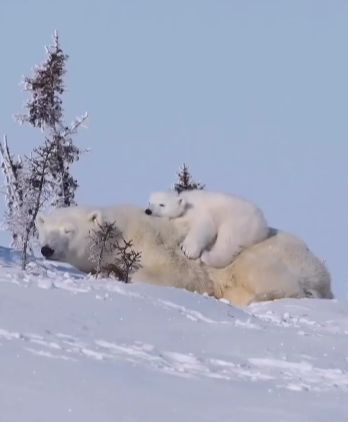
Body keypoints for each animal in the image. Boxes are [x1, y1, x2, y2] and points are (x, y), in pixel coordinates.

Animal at [36, 205, 334, 306]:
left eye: (68, 230)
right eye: (45, 230)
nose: (46, 249)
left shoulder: (156, 247)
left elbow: (171, 274)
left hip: (267, 255)